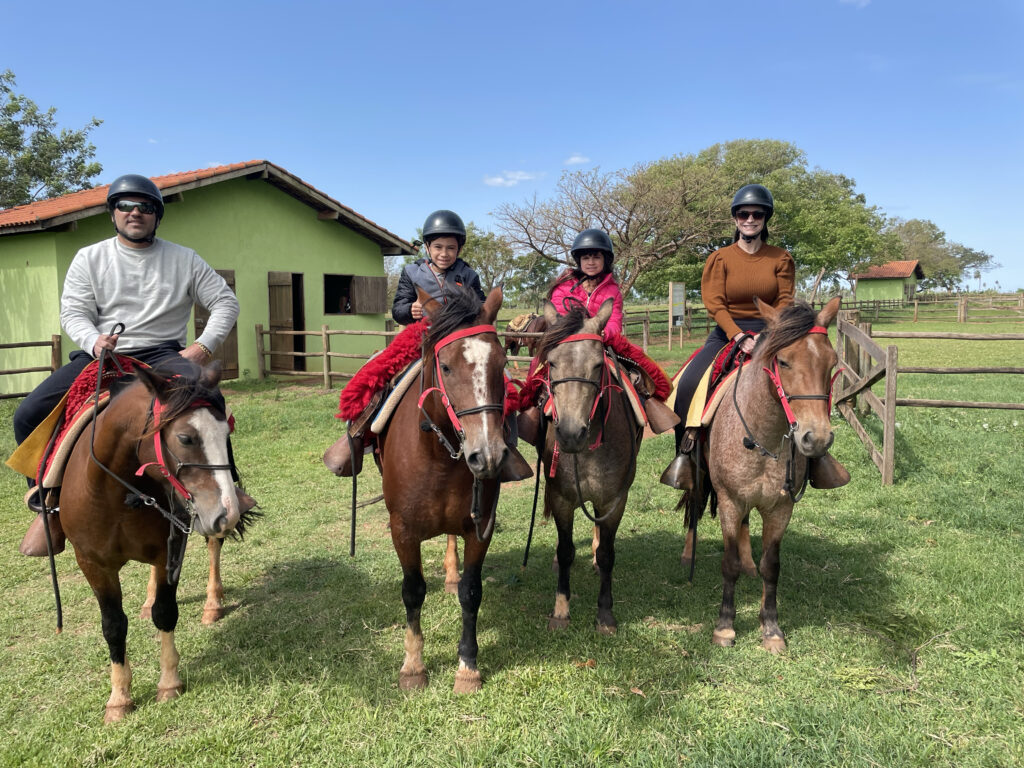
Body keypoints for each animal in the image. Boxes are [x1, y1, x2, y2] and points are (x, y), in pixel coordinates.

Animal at [60, 360, 243, 720]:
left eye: (225, 434)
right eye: (185, 437)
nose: (227, 513)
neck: (115, 492)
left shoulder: (168, 549)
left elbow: (166, 611)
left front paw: (169, 683)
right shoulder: (92, 563)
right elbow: (113, 625)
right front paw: (119, 699)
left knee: (213, 547)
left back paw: (212, 605)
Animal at [327, 286, 512, 696]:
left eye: (502, 363)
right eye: (446, 366)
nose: (487, 455)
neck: (437, 457)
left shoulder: (481, 527)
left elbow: (471, 592)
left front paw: (468, 668)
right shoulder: (403, 531)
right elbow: (412, 592)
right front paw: (413, 667)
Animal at [528, 303, 638, 638]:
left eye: (597, 364)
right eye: (551, 362)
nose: (570, 433)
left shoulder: (613, 501)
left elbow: (607, 555)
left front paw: (605, 614)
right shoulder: (561, 499)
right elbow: (565, 551)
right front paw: (561, 611)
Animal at [692, 296, 843, 651]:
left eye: (832, 362)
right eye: (784, 362)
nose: (816, 438)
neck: (765, 437)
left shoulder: (780, 508)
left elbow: (771, 566)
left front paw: (771, 628)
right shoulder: (730, 503)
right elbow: (729, 563)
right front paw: (725, 626)